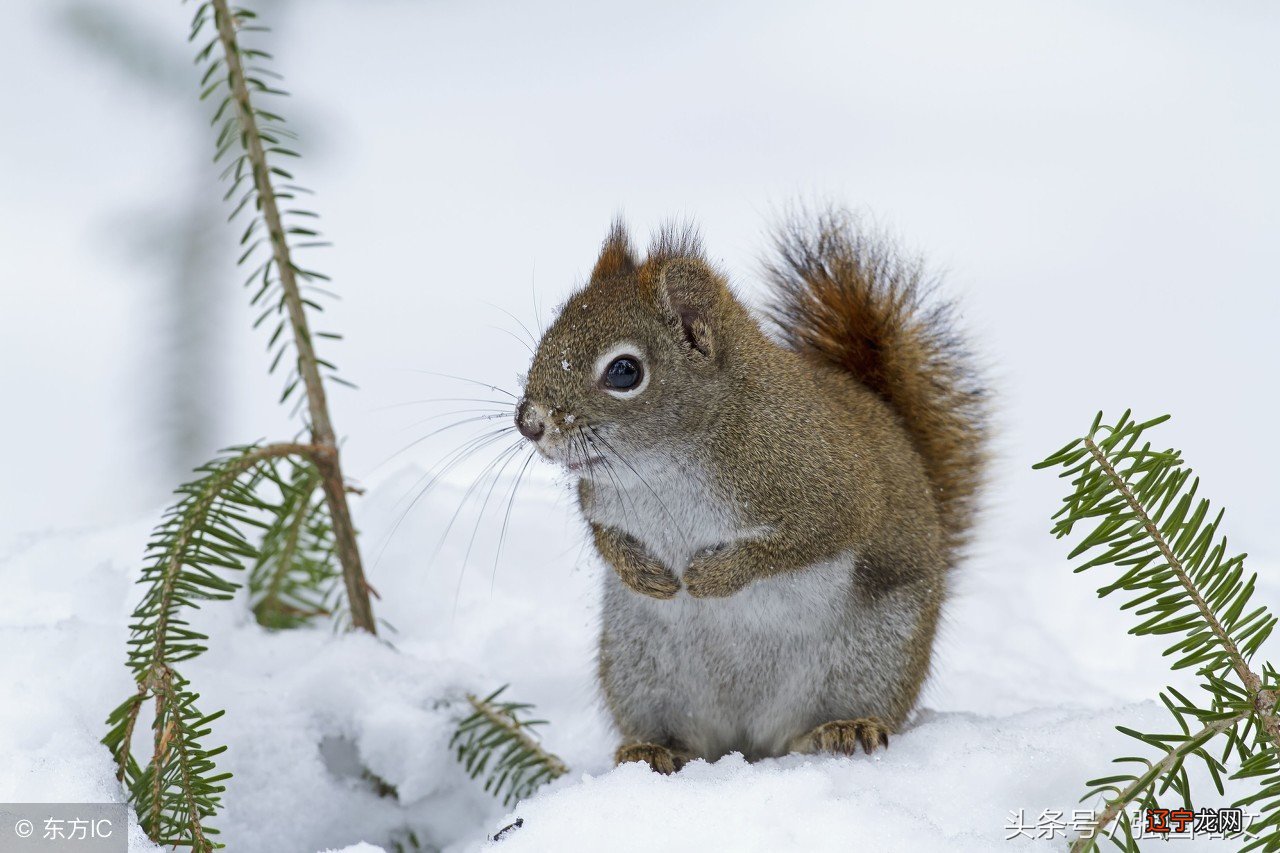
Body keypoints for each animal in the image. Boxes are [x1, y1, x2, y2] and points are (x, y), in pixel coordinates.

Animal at [514, 206, 983, 768]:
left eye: (624, 371)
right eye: (547, 338)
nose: (529, 423)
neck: (665, 464)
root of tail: (748, 741)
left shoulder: (834, 490)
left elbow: (800, 543)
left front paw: (711, 578)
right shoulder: (601, 500)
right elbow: (603, 536)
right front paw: (645, 574)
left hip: (874, 656)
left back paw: (842, 728)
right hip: (641, 669)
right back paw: (654, 749)